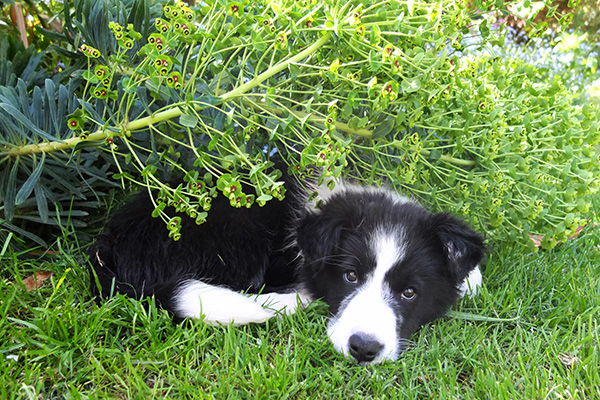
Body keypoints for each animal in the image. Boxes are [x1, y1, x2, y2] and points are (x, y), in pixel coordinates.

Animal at [89, 172, 486, 366]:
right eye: (350, 276)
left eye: (409, 292)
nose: (363, 349)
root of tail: (111, 251)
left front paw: (469, 278)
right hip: (238, 234)